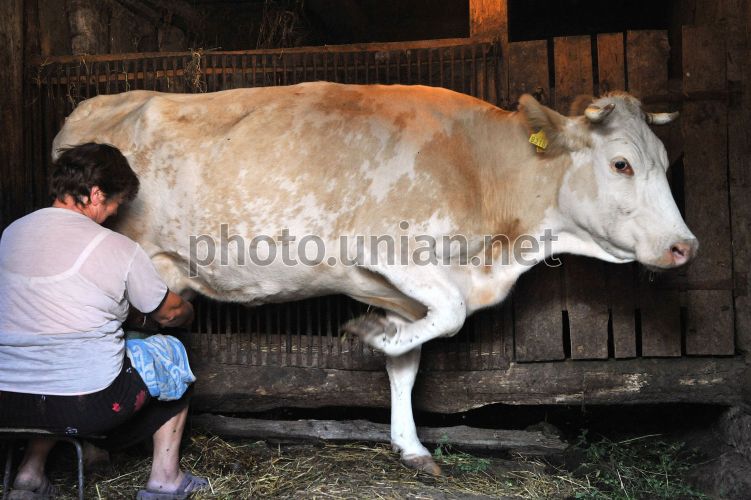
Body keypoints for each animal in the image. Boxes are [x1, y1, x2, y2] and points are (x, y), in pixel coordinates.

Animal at [54, 82, 700, 472]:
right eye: (621, 163)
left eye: (665, 162)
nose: (684, 246)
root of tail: (96, 103)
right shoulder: (389, 253)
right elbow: (450, 317)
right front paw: (367, 336)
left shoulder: (401, 291)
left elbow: (409, 362)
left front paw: (410, 445)